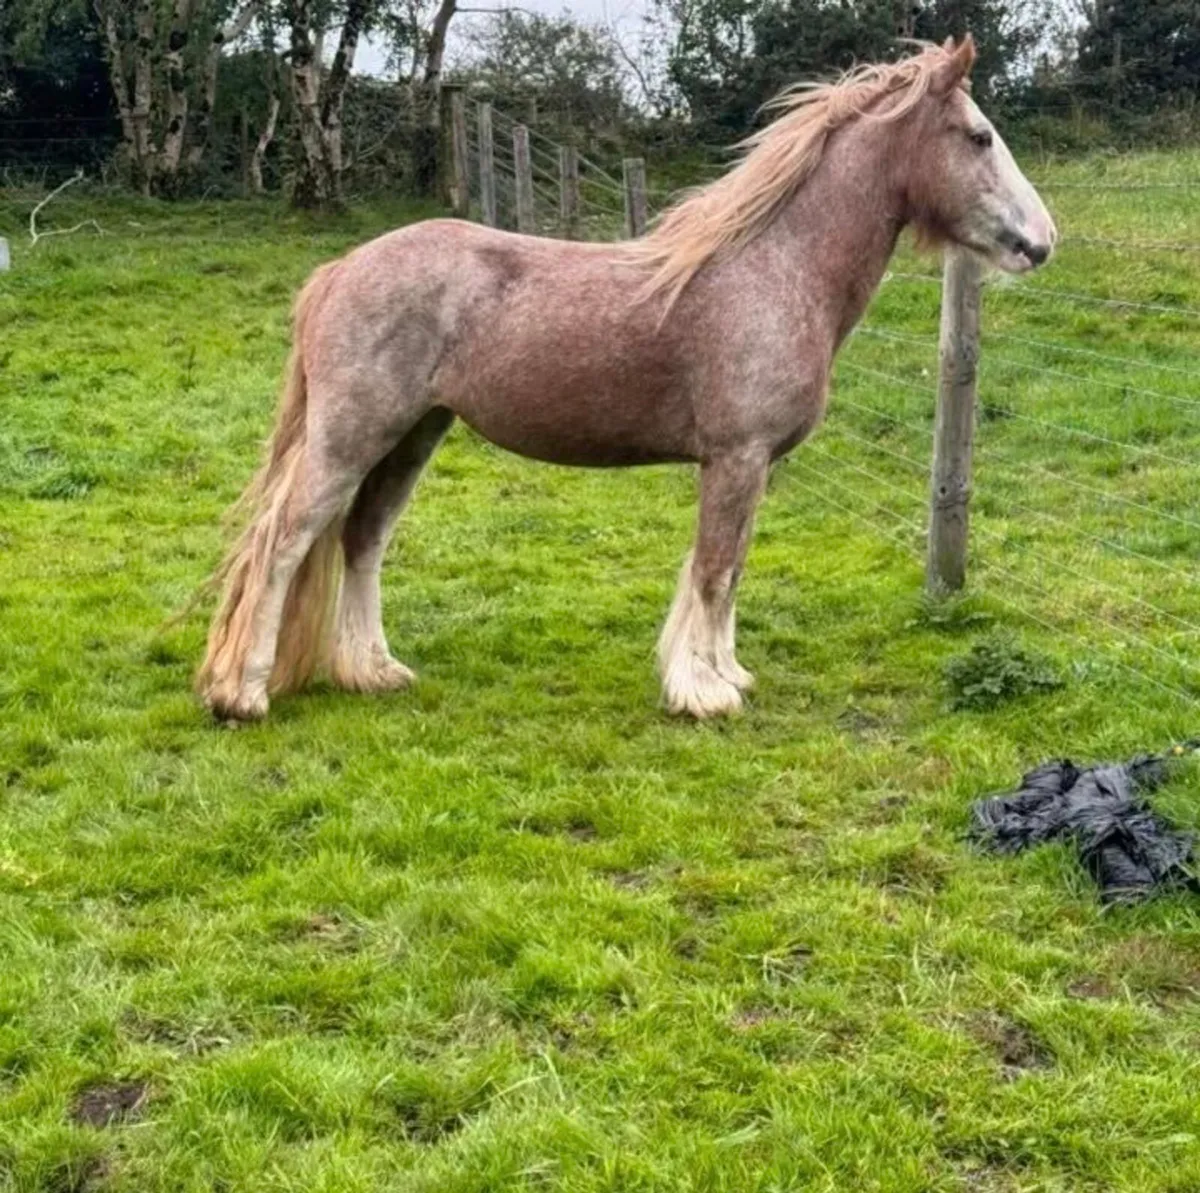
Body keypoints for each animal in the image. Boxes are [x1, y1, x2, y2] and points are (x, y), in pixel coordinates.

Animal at [196, 35, 1056, 724]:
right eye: (979, 136)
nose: (1041, 241)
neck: (775, 268)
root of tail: (339, 270)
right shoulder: (736, 458)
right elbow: (713, 569)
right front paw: (704, 692)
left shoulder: (751, 466)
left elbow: (730, 570)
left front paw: (727, 674)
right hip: (351, 435)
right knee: (284, 540)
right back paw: (243, 693)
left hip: (412, 434)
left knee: (363, 538)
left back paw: (372, 671)